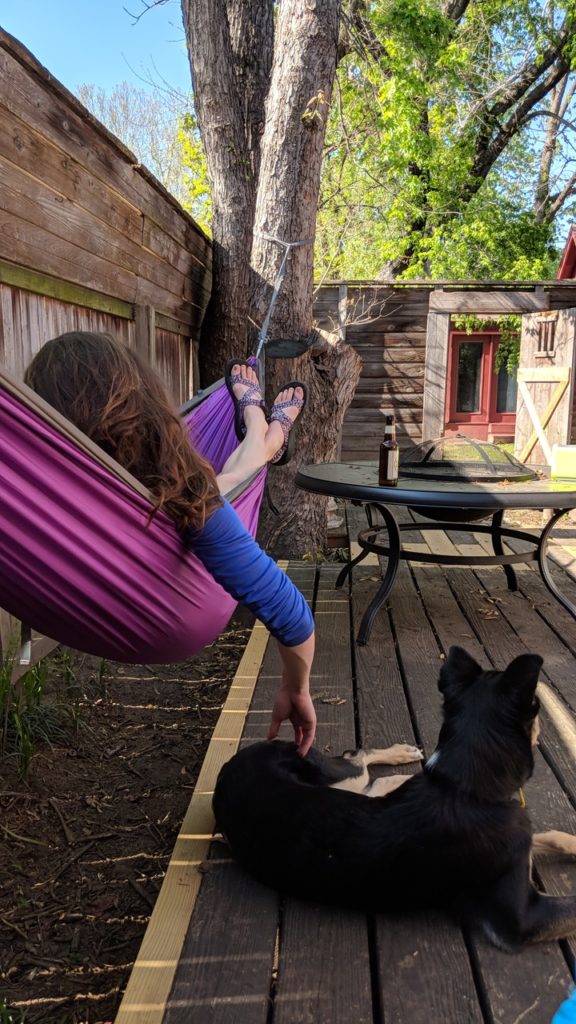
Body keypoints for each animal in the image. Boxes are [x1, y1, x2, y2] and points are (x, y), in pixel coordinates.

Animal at [213, 647, 573, 950]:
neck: (460, 786)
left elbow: (550, 836)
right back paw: (403, 759)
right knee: (357, 757)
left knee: (372, 781)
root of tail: (228, 765)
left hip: (345, 788)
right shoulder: (521, 920)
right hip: (342, 775)